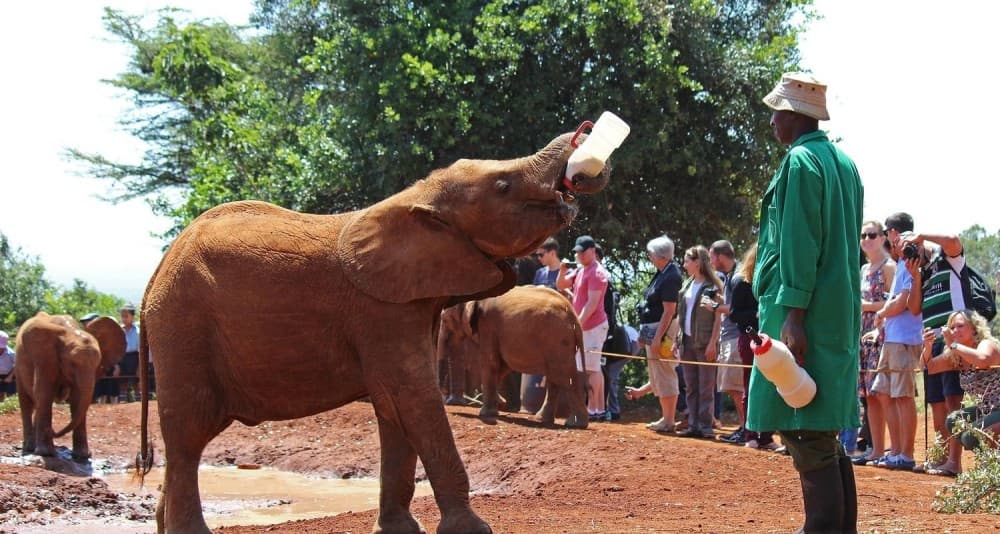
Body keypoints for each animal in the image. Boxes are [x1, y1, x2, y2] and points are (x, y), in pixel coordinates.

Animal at [16, 312, 126, 461]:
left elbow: (78, 398)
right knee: (26, 402)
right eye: (72, 363)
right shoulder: (46, 359)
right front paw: (46, 453)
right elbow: (44, 393)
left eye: (97, 364)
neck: (70, 331)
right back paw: (30, 447)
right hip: (18, 366)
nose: (52, 432)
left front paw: (83, 456)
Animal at [439, 286, 588, 428]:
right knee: (555, 377)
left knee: (564, 377)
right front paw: (500, 403)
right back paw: (543, 419)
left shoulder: (488, 326)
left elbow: (491, 362)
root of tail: (574, 318)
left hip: (557, 340)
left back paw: (575, 424)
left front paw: (487, 413)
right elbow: (502, 366)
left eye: (445, 320)